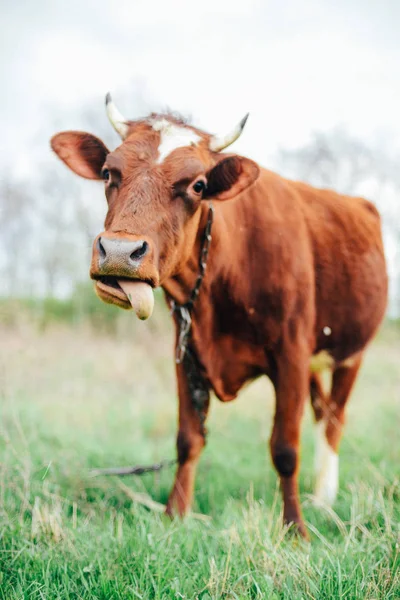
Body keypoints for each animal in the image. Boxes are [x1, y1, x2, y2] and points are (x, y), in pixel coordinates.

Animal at [50, 95, 388, 540]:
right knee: (321, 411)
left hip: (351, 353)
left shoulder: (291, 354)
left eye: (197, 185)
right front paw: (175, 515)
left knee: (333, 420)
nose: (120, 252)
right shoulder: (187, 352)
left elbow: (285, 448)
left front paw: (295, 528)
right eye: (108, 172)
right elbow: (188, 439)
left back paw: (323, 498)